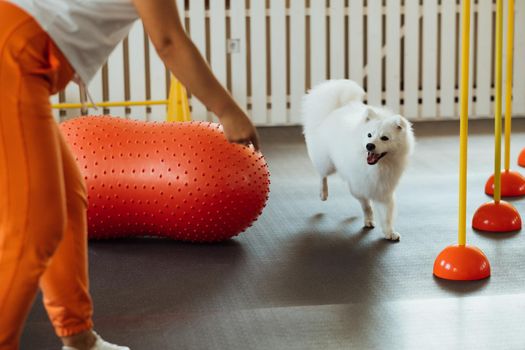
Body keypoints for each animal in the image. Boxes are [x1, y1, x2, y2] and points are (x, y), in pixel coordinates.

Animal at [302, 79, 414, 241]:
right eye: (369, 135)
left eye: (384, 138)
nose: (369, 145)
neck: (377, 167)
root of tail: (335, 110)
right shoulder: (359, 186)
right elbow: (366, 205)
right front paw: (369, 220)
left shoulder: (384, 190)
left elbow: (386, 214)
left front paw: (389, 232)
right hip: (327, 163)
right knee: (322, 175)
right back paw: (323, 194)